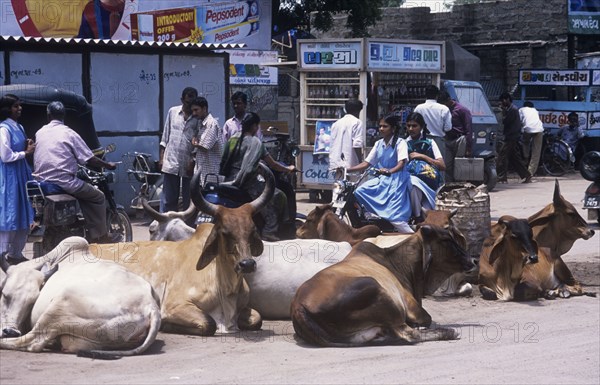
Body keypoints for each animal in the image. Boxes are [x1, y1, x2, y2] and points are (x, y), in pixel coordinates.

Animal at [0, 236, 161, 358]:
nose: (10, 331)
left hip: (60, 305)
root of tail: (150, 306)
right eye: (5, 295)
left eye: (31, 303)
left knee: (32, 341)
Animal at [88, 164, 274, 334]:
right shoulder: (175, 305)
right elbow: (209, 323)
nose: (247, 264)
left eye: (252, 230)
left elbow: (257, 318)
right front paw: (166, 325)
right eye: (224, 232)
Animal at [288, 224, 476, 346]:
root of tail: (298, 307)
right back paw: (449, 332)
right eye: (446, 240)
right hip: (378, 291)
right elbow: (427, 319)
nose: (472, 260)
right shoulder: (411, 305)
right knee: (409, 334)